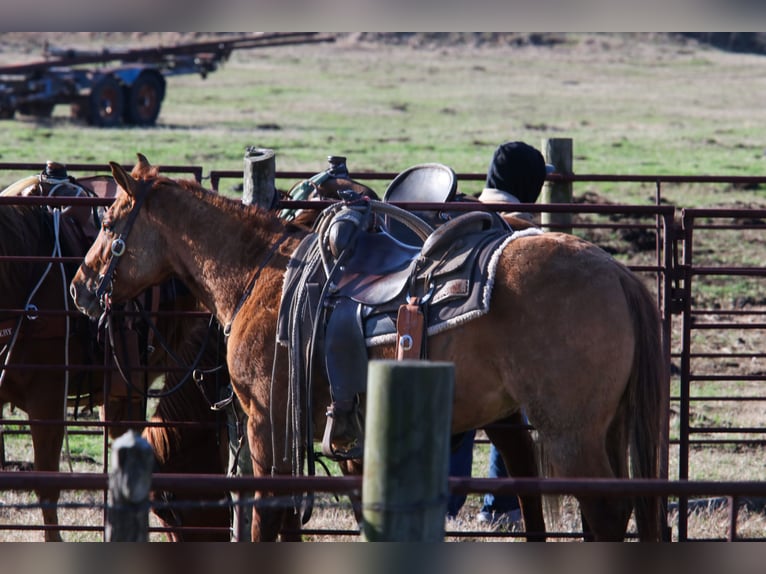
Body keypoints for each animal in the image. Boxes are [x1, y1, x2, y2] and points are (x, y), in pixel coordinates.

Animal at [72, 155, 668, 544]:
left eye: (109, 222)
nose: (80, 287)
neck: (259, 273)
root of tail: (617, 273)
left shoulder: (267, 420)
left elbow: (268, 511)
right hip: (598, 429)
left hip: (570, 434)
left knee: (606, 512)